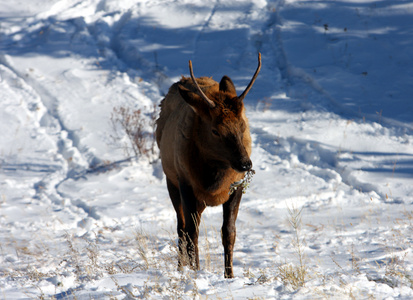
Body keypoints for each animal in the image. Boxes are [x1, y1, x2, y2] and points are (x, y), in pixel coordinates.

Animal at [155, 53, 260, 276]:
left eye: (242, 125)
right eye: (215, 131)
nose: (245, 164)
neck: (213, 181)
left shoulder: (236, 186)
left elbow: (229, 232)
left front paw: (229, 275)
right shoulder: (185, 183)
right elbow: (192, 232)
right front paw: (196, 271)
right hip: (171, 181)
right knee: (181, 228)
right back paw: (181, 268)